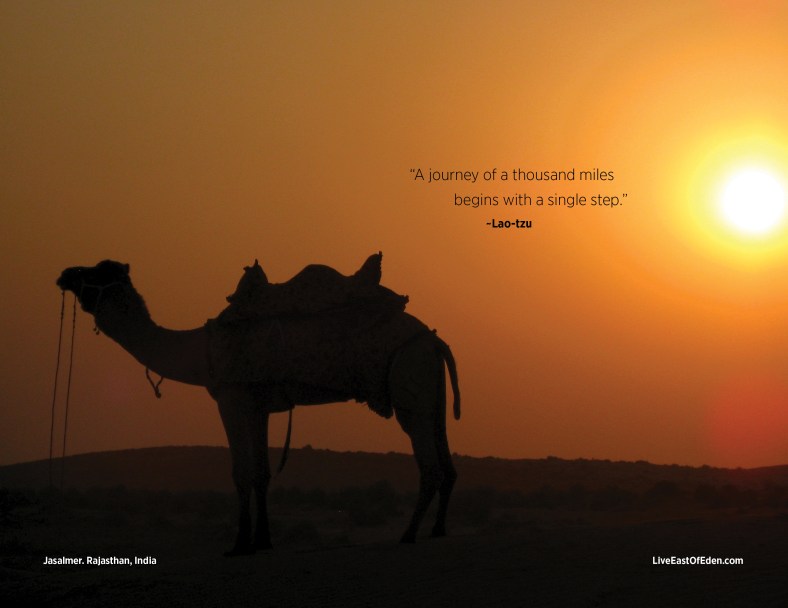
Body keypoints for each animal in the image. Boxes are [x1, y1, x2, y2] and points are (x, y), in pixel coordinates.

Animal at [56, 255, 460, 555]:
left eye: (96, 271)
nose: (64, 273)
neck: (201, 351)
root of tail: (433, 340)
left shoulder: (231, 398)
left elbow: (240, 473)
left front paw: (238, 544)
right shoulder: (258, 406)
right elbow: (262, 473)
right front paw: (263, 540)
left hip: (409, 383)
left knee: (429, 464)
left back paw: (409, 533)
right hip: (432, 389)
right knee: (446, 458)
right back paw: (438, 529)